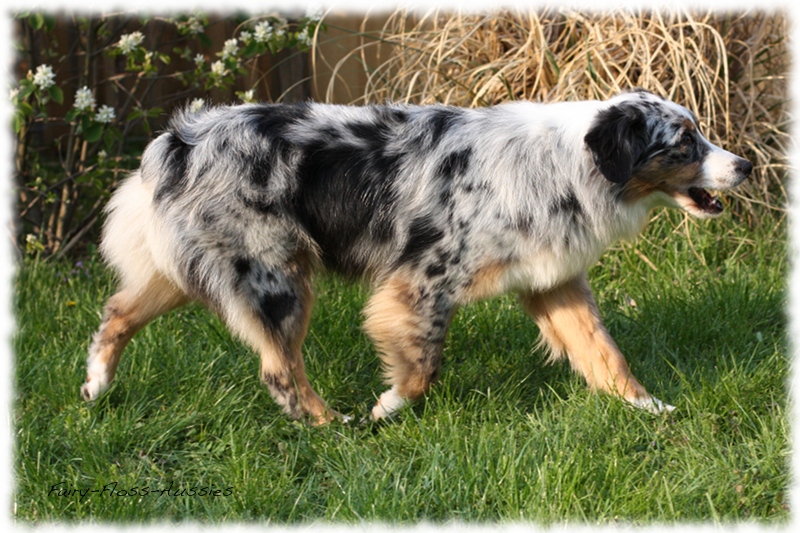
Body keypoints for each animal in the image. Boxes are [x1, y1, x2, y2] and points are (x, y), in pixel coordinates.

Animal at [81, 88, 752, 424]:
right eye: (685, 142)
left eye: (699, 133)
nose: (745, 164)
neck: (566, 164)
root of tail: (178, 140)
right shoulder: (424, 281)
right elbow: (424, 364)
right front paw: (389, 406)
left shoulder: (552, 280)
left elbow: (606, 354)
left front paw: (649, 408)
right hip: (276, 276)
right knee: (279, 371)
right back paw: (333, 426)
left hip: (181, 273)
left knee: (115, 314)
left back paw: (95, 388)